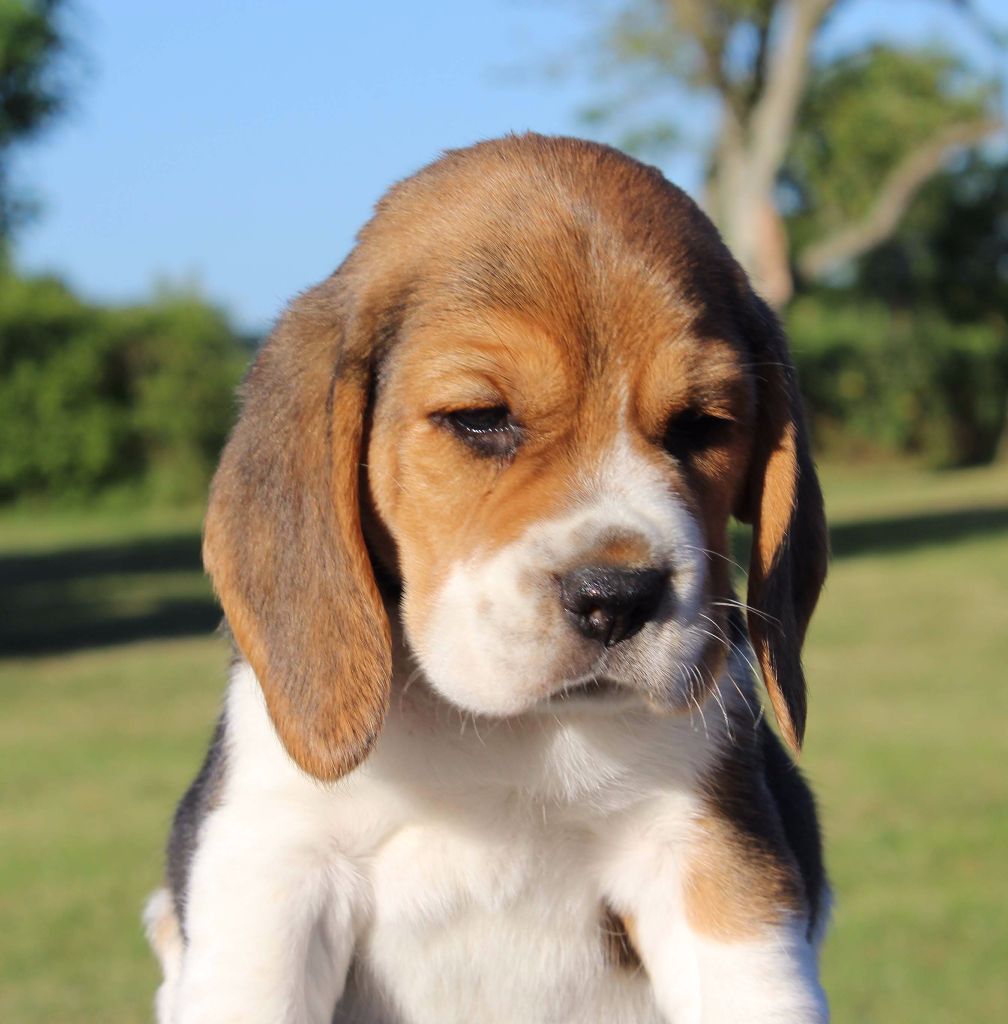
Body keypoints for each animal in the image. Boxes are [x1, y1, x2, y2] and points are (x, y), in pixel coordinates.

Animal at [145, 136, 831, 1024]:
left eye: (702, 427)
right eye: (479, 420)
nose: (617, 598)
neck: (511, 737)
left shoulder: (710, 858)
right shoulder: (270, 866)